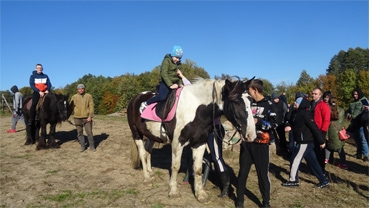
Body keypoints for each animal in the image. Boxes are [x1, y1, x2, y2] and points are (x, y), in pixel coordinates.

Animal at [126, 78, 254, 203]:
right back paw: (147, 178)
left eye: (251, 101)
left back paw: (150, 172)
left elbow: (198, 169)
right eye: (235, 101)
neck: (196, 109)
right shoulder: (178, 142)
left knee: (148, 151)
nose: (251, 135)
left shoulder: (199, 143)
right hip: (136, 133)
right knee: (142, 153)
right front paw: (173, 192)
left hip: (151, 135)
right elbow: (175, 166)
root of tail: (135, 98)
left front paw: (200, 194)